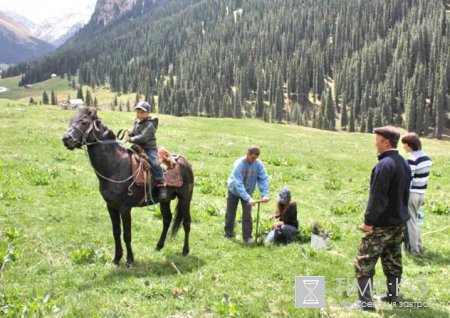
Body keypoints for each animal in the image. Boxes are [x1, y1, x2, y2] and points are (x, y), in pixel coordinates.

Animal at [62, 108, 193, 268]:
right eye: (71, 120)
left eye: (84, 121)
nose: (66, 139)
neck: (115, 165)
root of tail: (184, 161)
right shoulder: (111, 206)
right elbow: (116, 232)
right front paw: (117, 258)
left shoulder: (125, 208)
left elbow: (127, 234)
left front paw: (130, 260)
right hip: (165, 200)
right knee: (167, 219)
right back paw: (159, 246)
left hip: (185, 198)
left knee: (186, 223)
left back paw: (185, 251)